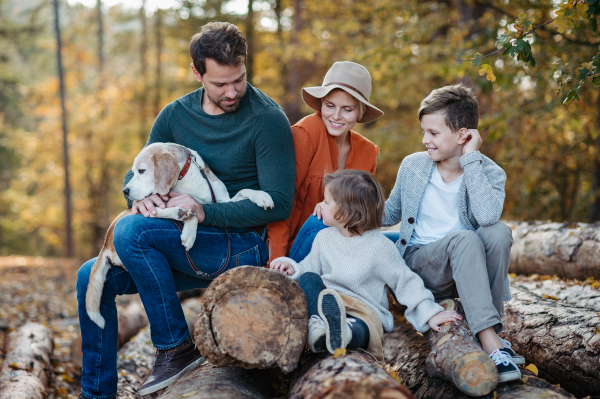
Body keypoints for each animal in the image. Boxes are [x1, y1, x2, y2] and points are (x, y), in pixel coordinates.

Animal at [85, 143, 274, 328]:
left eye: (141, 171)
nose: (125, 191)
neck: (188, 177)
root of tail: (106, 242)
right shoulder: (174, 197)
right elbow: (194, 208)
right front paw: (189, 232)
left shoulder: (222, 202)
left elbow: (243, 191)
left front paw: (262, 196)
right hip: (141, 210)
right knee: (156, 212)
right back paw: (180, 212)